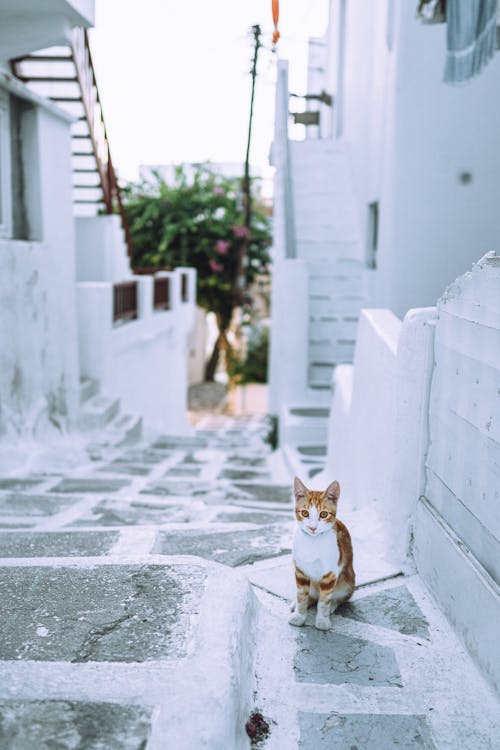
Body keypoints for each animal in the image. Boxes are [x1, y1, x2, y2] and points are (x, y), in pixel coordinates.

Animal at [288, 478, 354, 632]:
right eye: (305, 513)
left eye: (323, 514)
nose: (312, 527)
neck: (313, 542)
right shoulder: (300, 571)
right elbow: (302, 595)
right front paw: (299, 615)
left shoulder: (330, 574)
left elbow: (324, 601)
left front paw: (322, 619)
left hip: (347, 581)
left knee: (339, 597)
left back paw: (333, 605)